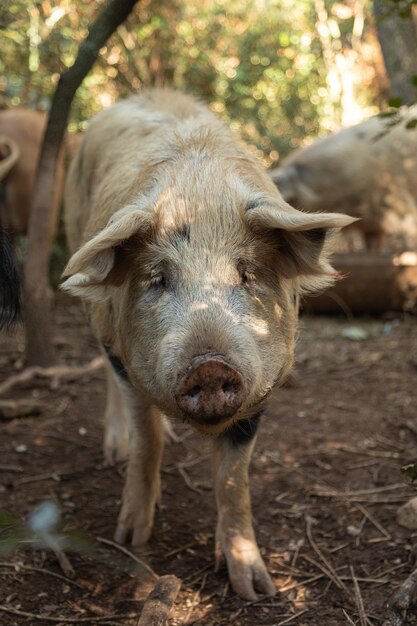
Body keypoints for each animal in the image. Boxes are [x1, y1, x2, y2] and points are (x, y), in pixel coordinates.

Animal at [61, 88, 354, 600]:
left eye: (248, 273)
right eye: (158, 278)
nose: (210, 365)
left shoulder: (264, 385)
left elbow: (233, 480)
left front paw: (256, 589)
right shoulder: (128, 364)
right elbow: (147, 440)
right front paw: (132, 539)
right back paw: (115, 452)